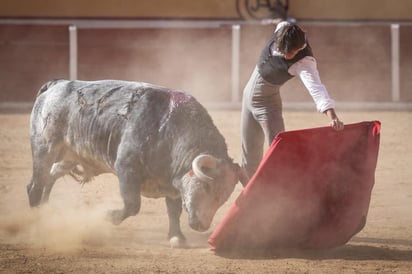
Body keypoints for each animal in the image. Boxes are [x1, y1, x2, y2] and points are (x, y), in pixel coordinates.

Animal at [29, 78, 248, 246]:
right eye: (206, 187)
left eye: (224, 197)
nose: (200, 226)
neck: (170, 130)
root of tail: (56, 85)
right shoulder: (126, 169)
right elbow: (133, 205)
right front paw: (108, 216)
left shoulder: (172, 184)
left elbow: (174, 210)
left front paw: (176, 237)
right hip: (44, 148)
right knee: (35, 185)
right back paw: (36, 223)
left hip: (68, 158)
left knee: (49, 178)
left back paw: (45, 211)